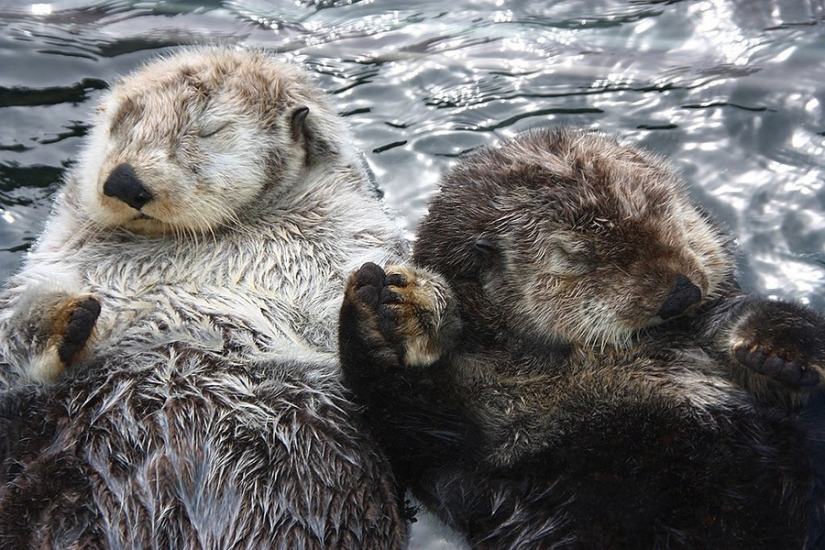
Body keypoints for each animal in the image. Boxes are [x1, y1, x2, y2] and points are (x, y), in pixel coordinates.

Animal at [0, 48, 408, 550]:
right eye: (118, 126)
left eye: (210, 129)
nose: (123, 181)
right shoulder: (57, 260)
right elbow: (12, 335)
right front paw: (66, 317)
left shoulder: (355, 237)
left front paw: (374, 316)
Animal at [336, 127, 824, 548]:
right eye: (580, 257)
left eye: (666, 213)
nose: (682, 291)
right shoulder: (459, 454)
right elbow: (409, 421)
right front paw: (391, 311)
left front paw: (779, 350)